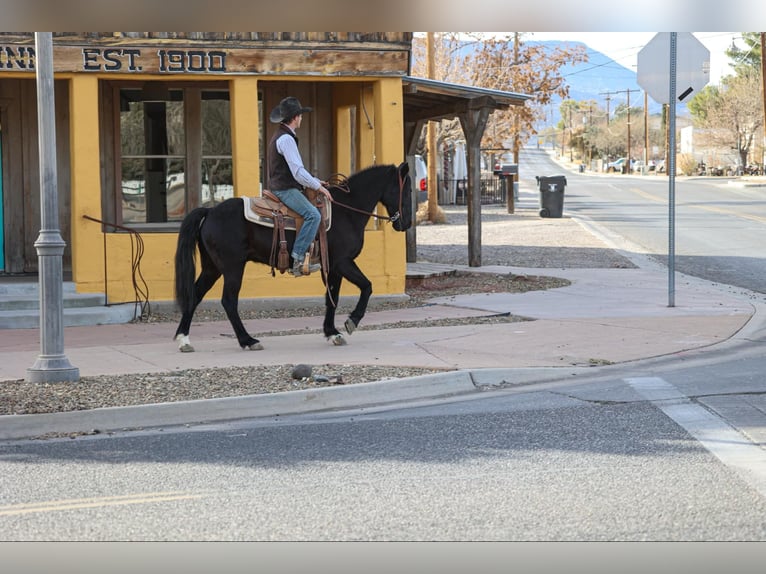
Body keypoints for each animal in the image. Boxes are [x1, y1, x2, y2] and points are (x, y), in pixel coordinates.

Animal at [174, 160, 414, 354]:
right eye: (406, 189)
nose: (406, 224)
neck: (346, 212)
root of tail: (209, 212)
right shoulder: (343, 262)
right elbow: (367, 286)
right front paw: (351, 322)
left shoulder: (333, 268)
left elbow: (332, 298)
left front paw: (332, 332)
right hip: (233, 268)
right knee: (229, 301)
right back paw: (248, 341)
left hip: (212, 268)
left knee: (195, 295)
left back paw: (184, 339)